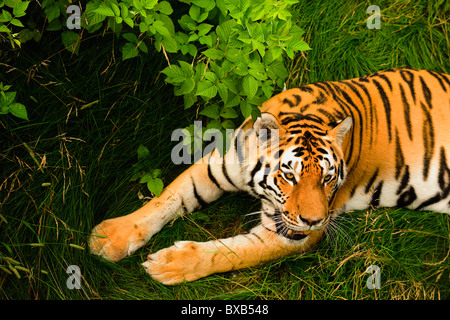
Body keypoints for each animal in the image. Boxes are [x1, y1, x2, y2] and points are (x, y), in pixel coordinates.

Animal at [89, 67, 450, 284]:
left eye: (328, 178)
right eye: (289, 176)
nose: (314, 221)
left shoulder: (292, 232)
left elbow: (236, 253)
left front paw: (170, 265)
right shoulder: (217, 165)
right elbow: (167, 198)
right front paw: (108, 238)